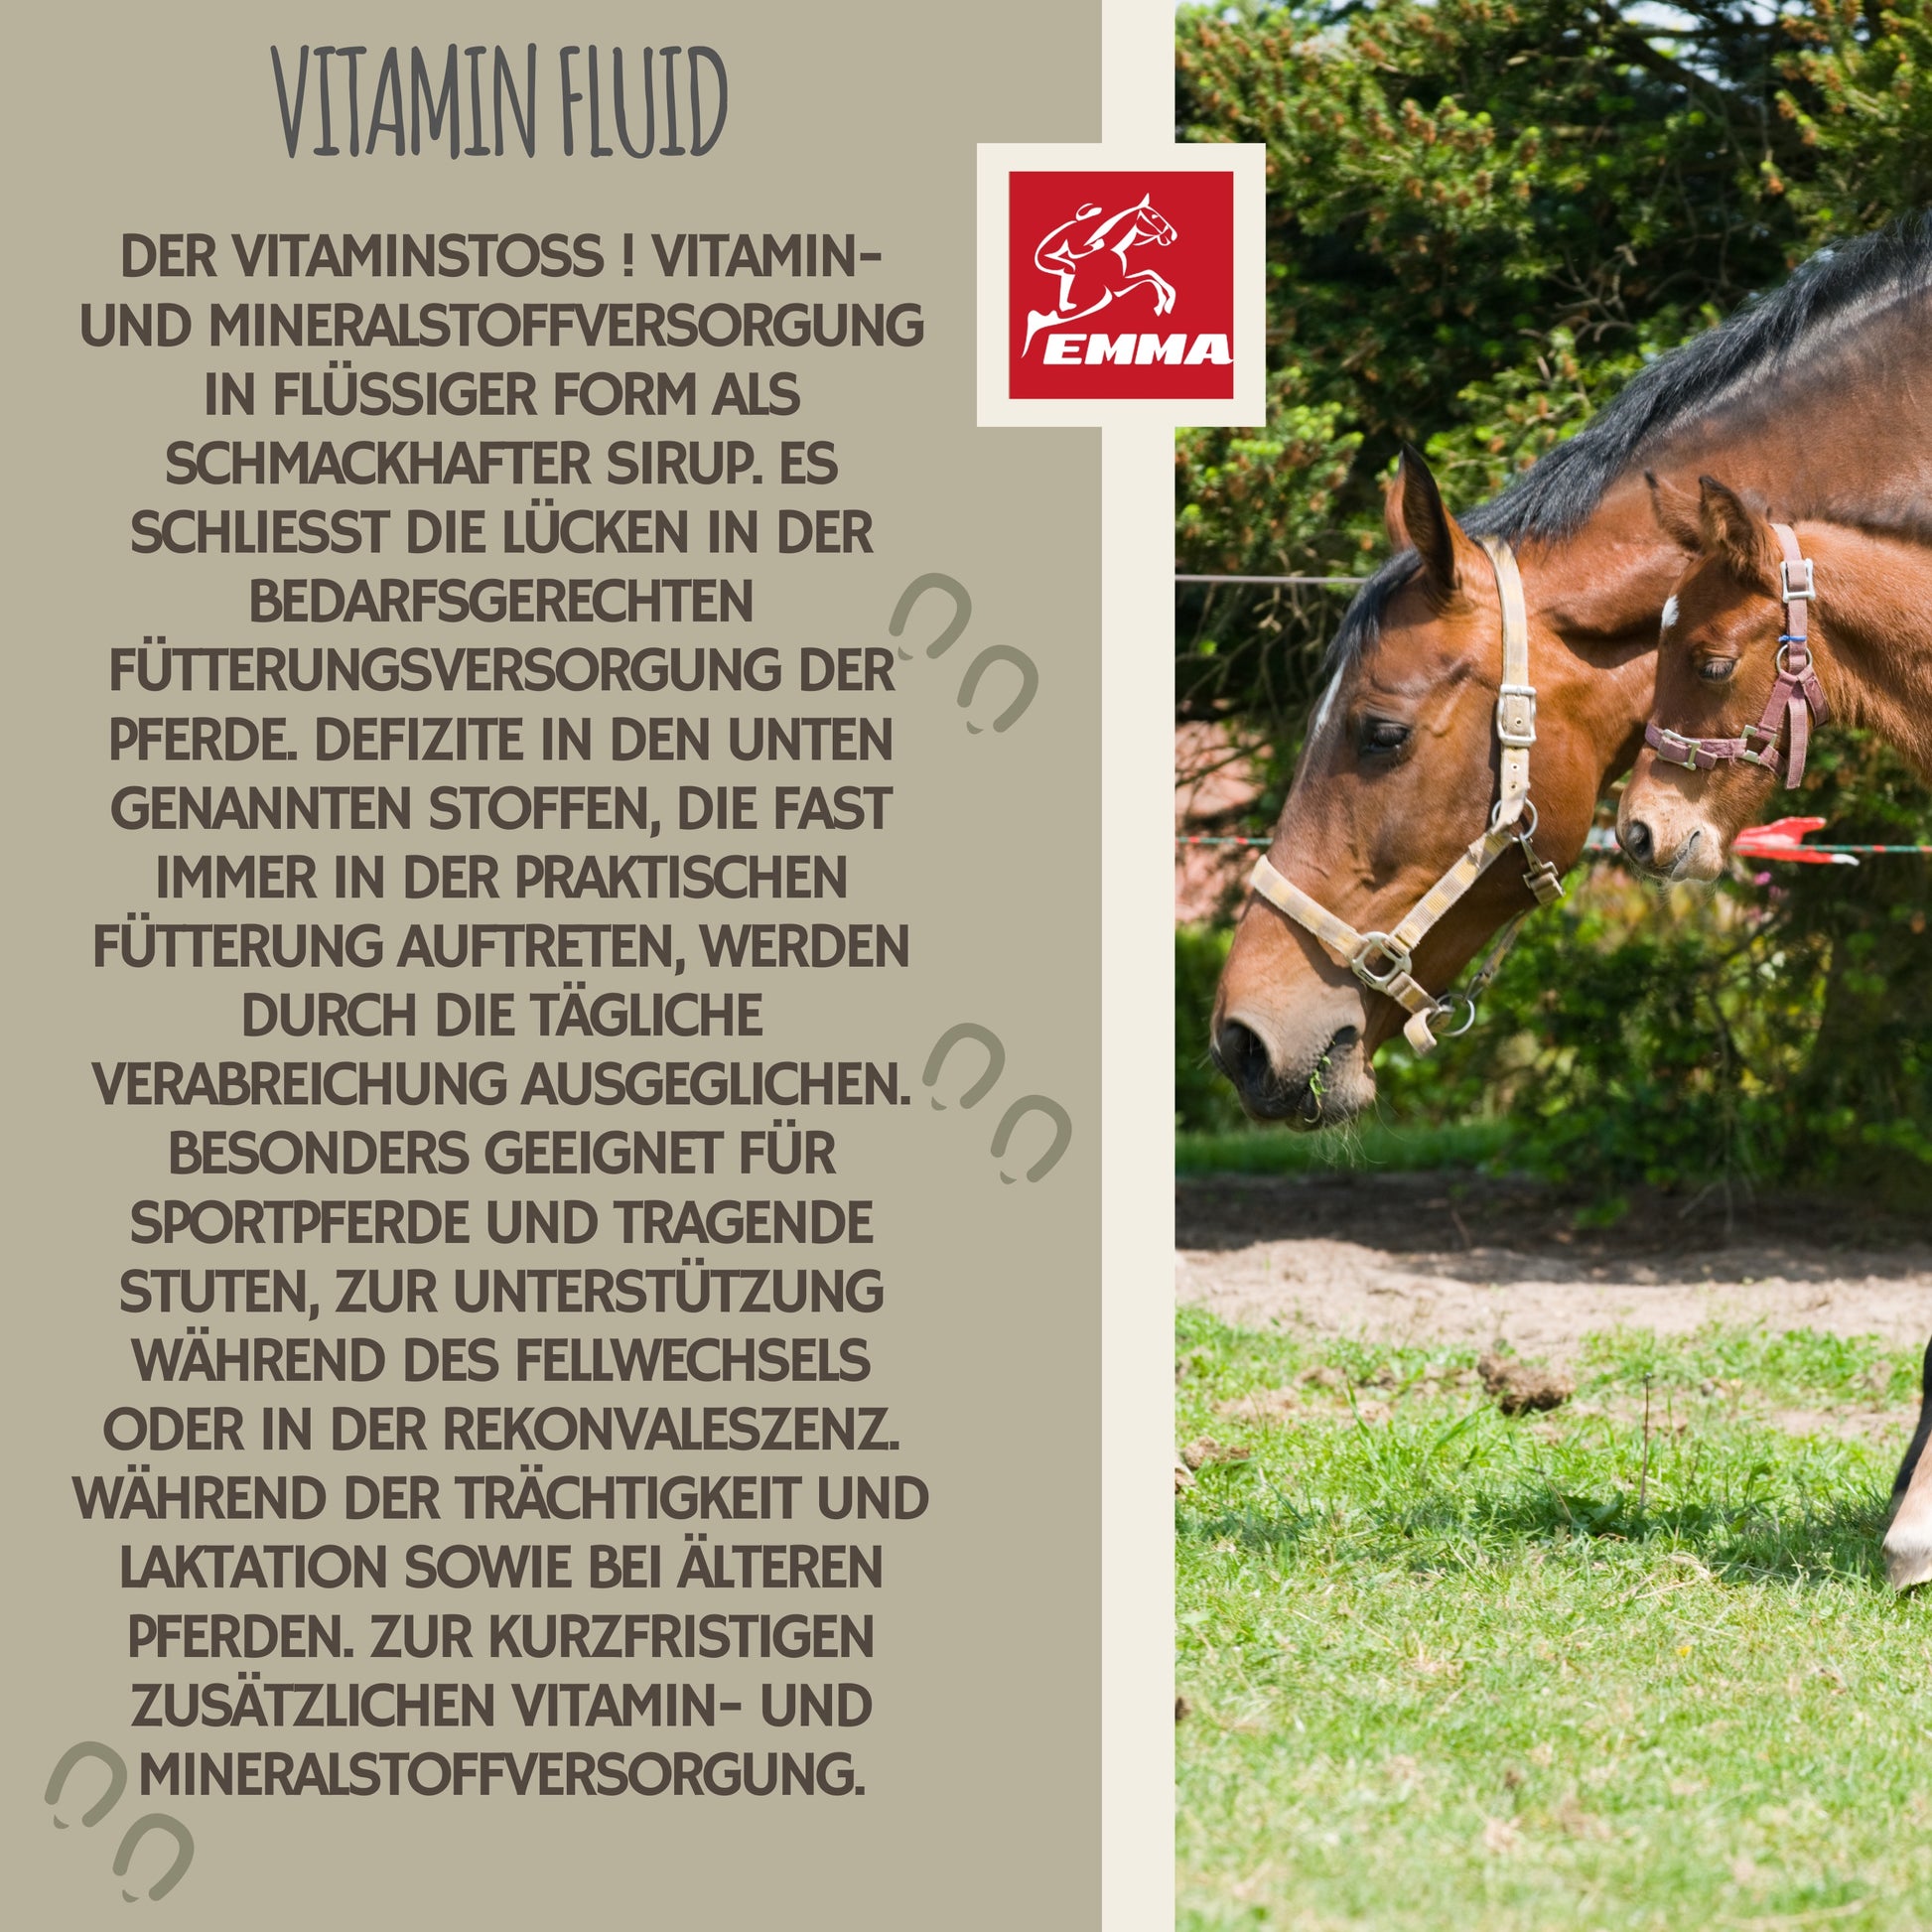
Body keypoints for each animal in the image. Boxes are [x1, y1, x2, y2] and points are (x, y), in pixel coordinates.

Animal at [1023, 196, 1178, 354]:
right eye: (1154, 216)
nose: (1173, 235)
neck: (1112, 248)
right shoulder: (1118, 285)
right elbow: (1149, 277)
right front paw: (1162, 304)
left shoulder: (1120, 283)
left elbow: (1151, 274)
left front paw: (1167, 303)